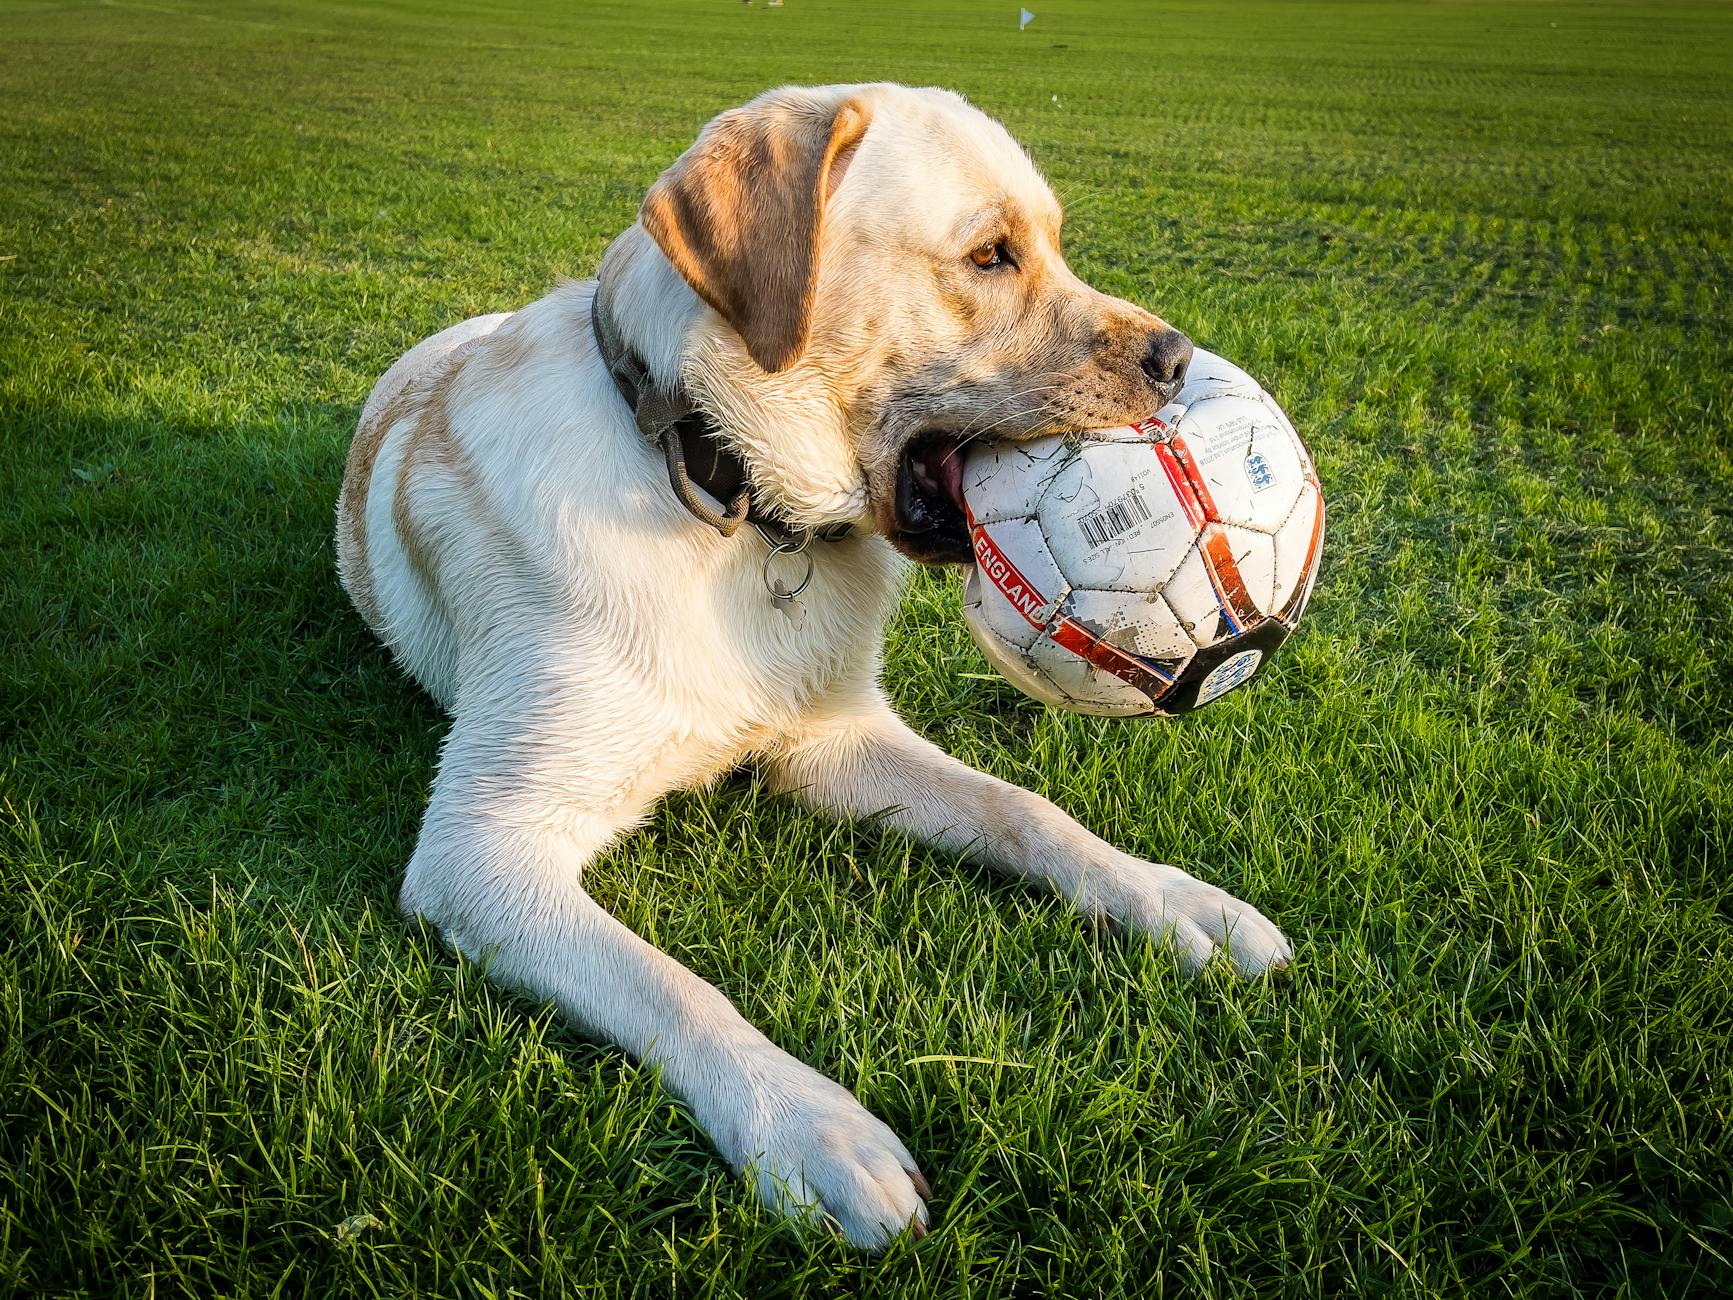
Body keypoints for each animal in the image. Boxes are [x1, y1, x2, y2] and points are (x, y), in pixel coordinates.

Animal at [337, 81, 1289, 1254]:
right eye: (989, 255)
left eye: (1056, 243)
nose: (1178, 360)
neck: (721, 494)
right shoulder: (482, 846)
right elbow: (669, 986)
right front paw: (810, 1128)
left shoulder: (833, 741)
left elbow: (1025, 809)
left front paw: (1169, 899)